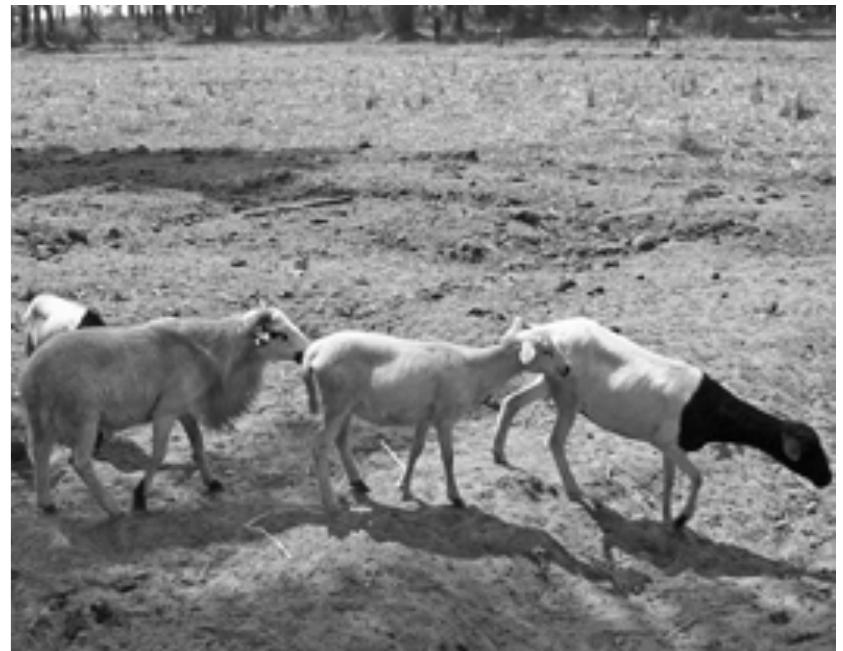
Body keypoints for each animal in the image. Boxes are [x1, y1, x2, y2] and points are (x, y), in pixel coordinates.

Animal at [18, 306, 310, 517]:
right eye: (280, 334)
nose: (306, 352)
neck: (212, 349)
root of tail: (34, 373)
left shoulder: (183, 408)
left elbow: (198, 445)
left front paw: (211, 482)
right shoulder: (166, 411)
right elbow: (159, 454)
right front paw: (140, 497)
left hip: (42, 419)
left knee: (40, 454)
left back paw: (46, 503)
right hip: (85, 418)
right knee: (79, 461)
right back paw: (113, 509)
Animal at [302, 318, 571, 513]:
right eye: (546, 350)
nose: (567, 369)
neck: (476, 371)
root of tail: (314, 351)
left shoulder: (425, 415)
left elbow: (415, 451)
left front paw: (404, 487)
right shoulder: (445, 417)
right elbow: (448, 457)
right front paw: (455, 497)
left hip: (346, 406)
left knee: (340, 441)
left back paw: (358, 482)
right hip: (336, 401)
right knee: (319, 445)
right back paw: (330, 503)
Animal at [492, 317, 832, 530]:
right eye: (809, 453)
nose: (827, 478)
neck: (705, 406)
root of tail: (544, 330)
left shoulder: (669, 446)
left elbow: (669, 481)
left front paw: (667, 521)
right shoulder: (667, 441)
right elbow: (698, 477)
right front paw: (682, 519)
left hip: (551, 380)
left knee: (511, 403)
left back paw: (499, 454)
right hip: (567, 397)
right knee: (555, 441)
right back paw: (577, 493)